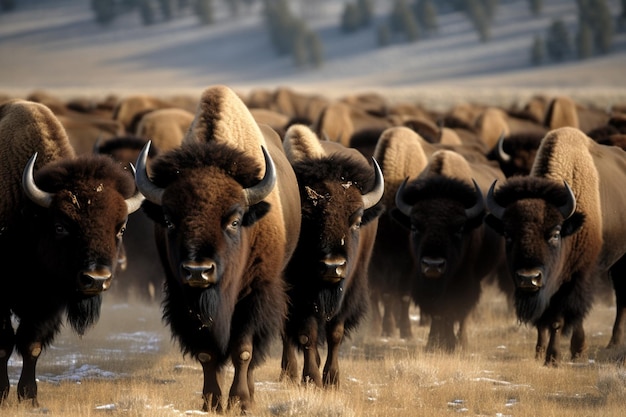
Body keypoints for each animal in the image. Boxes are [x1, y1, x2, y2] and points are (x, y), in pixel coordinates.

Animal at [0, 99, 143, 404]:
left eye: (121, 228)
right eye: (60, 226)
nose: (97, 279)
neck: (29, 216)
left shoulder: (47, 302)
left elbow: (31, 344)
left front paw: (29, 397)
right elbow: (4, 344)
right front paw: (2, 392)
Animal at [135, 85, 302, 412]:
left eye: (235, 220)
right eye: (169, 221)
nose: (198, 271)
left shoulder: (252, 295)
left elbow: (243, 350)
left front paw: (240, 401)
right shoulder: (184, 299)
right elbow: (207, 353)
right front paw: (211, 402)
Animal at [280, 123, 386, 386]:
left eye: (357, 220)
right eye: (307, 219)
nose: (332, 266)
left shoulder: (346, 290)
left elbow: (335, 333)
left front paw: (332, 379)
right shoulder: (298, 296)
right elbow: (306, 334)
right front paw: (312, 379)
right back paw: (289, 372)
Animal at [486, 127, 626, 364]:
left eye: (555, 233)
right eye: (508, 234)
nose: (528, 278)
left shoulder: (578, 277)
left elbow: (562, 318)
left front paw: (561, 355)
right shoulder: (545, 286)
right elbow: (543, 318)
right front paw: (539, 352)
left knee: (621, 299)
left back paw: (613, 343)